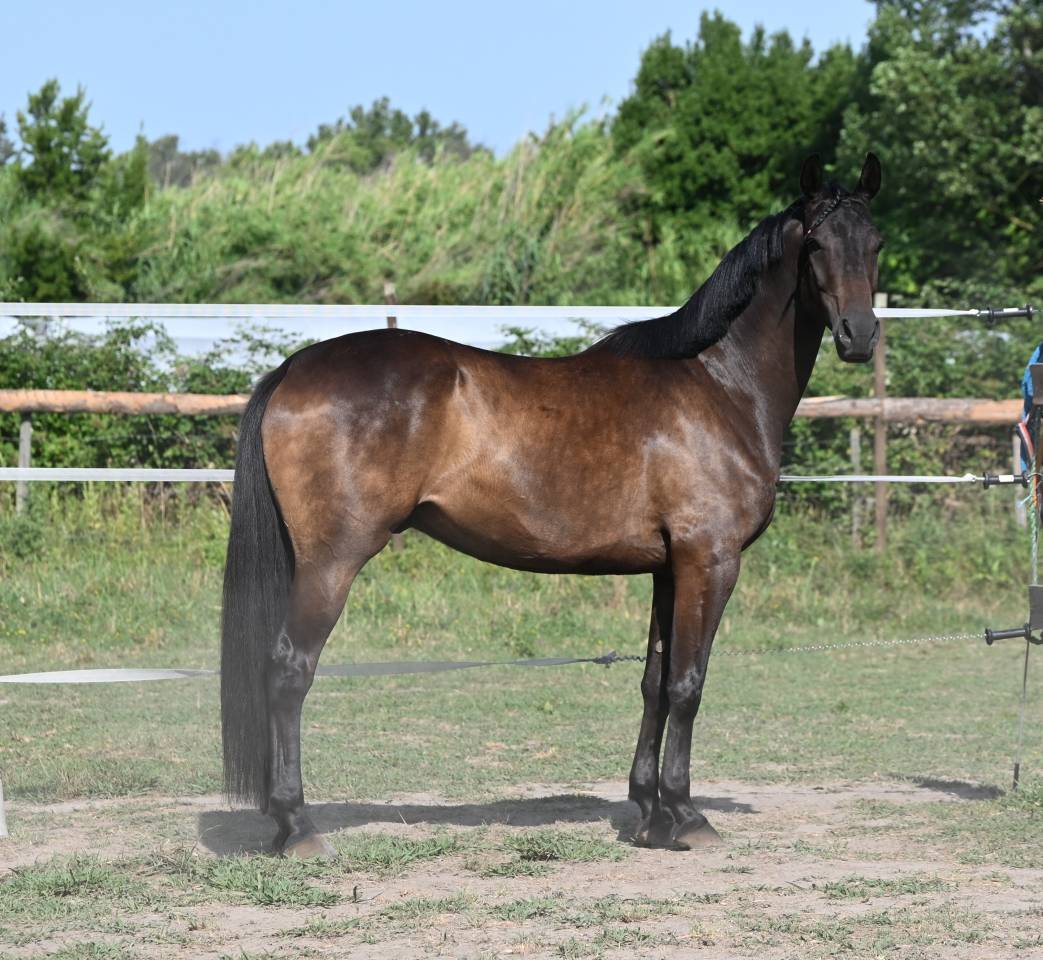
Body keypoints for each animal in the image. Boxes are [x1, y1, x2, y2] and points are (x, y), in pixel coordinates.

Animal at [220, 152, 884, 857]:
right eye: (815, 244)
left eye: (875, 243)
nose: (859, 336)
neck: (717, 383)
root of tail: (293, 368)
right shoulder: (710, 561)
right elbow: (688, 684)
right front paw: (687, 815)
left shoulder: (668, 568)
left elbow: (655, 683)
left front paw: (649, 815)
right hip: (332, 561)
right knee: (289, 671)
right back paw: (297, 826)